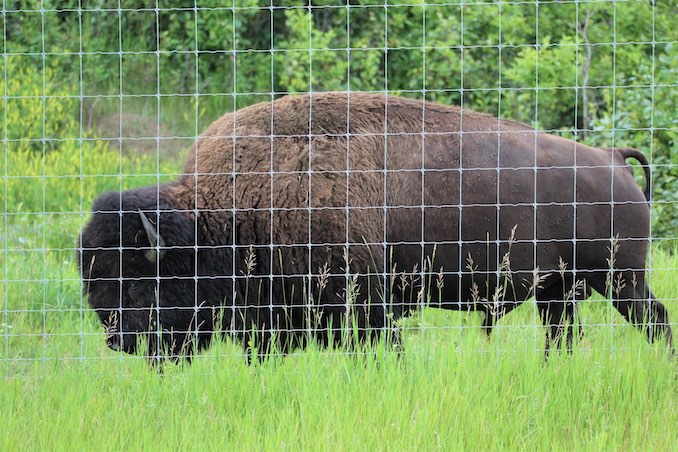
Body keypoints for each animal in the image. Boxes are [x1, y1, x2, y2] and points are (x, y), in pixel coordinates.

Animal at [79, 90, 676, 362]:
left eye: (136, 281)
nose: (119, 341)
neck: (221, 217)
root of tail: (612, 159)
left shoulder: (365, 302)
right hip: (560, 290)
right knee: (564, 337)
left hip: (620, 279)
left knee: (656, 320)